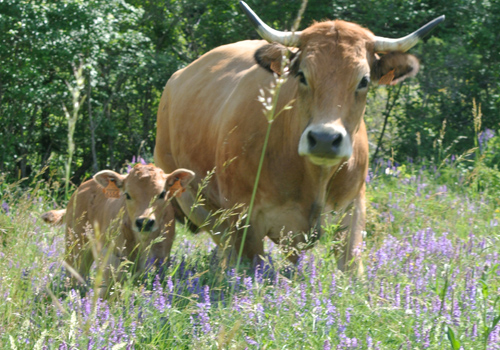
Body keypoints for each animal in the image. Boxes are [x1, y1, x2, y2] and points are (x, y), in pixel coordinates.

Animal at [42, 164, 194, 296]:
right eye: (127, 194)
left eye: (162, 194)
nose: (144, 222)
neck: (141, 242)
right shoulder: (111, 257)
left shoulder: (159, 258)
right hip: (75, 246)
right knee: (76, 275)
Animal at [154, 0, 444, 274]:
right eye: (302, 75)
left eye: (363, 80)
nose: (325, 138)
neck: (314, 178)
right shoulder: (243, 218)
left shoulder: (353, 210)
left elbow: (352, 272)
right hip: (191, 201)